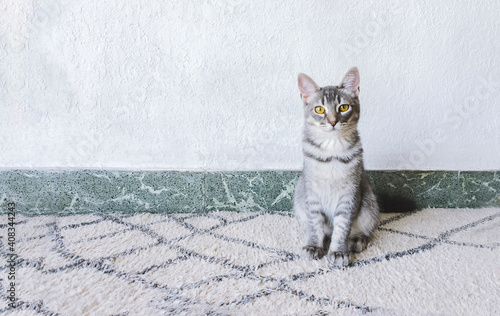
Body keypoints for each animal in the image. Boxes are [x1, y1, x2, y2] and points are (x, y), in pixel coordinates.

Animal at [292, 67, 378, 266]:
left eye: (343, 107)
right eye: (319, 109)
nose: (332, 121)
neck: (332, 152)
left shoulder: (349, 194)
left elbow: (342, 227)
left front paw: (338, 251)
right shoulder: (312, 194)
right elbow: (315, 224)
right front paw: (314, 246)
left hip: (369, 206)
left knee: (363, 230)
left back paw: (356, 240)